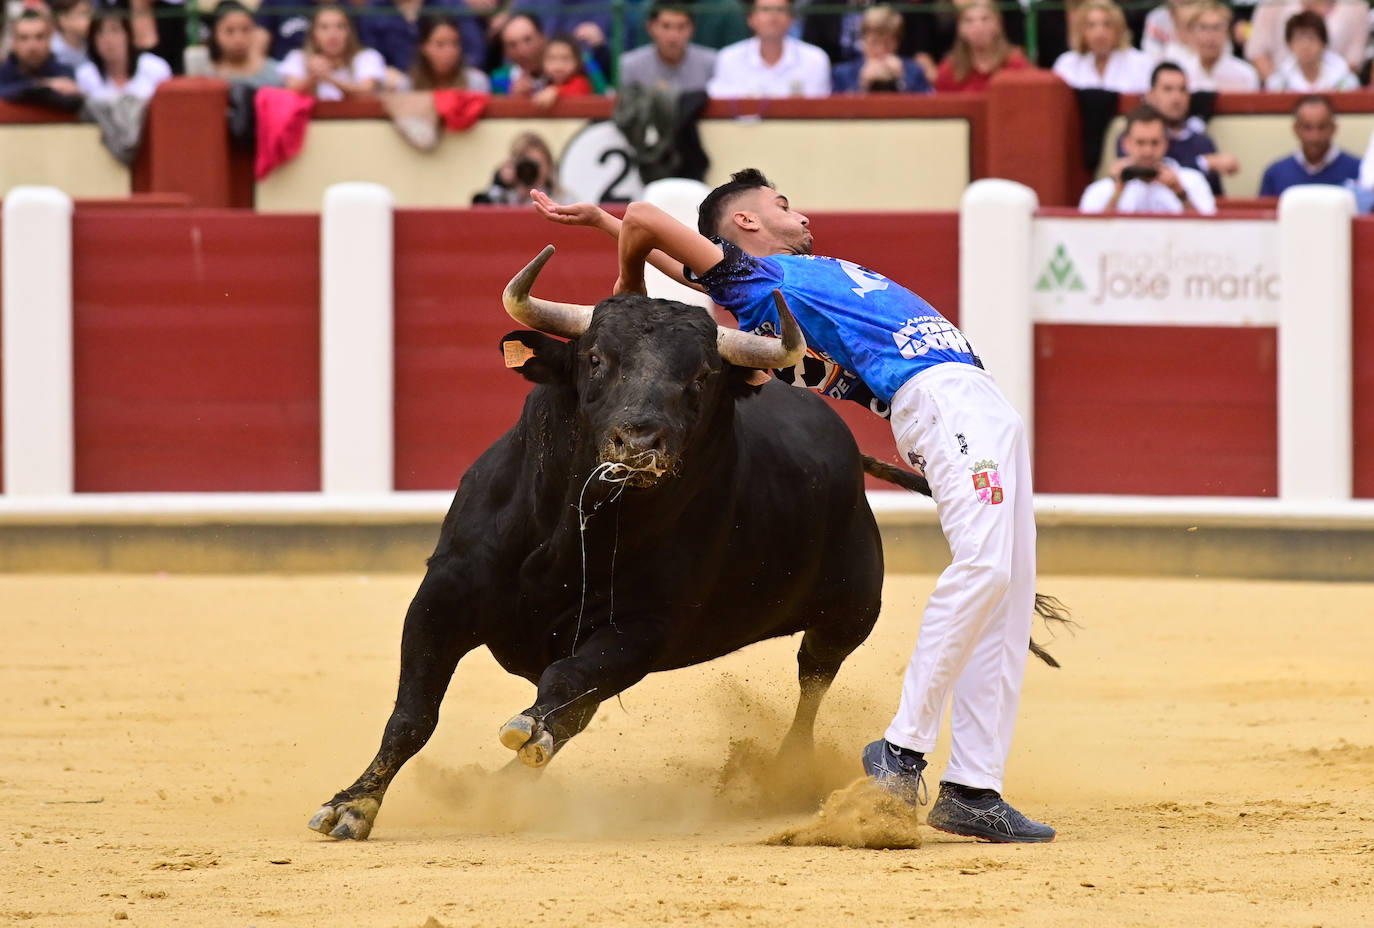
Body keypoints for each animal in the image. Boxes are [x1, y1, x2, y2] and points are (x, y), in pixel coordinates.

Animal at [309, 247, 1060, 841]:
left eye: (700, 375)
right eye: (596, 359)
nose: (639, 441)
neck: (574, 532)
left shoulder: (641, 631)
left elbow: (561, 686)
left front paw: (520, 735)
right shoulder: (442, 595)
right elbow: (413, 714)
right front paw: (351, 808)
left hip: (849, 610)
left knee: (813, 678)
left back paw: (794, 779)